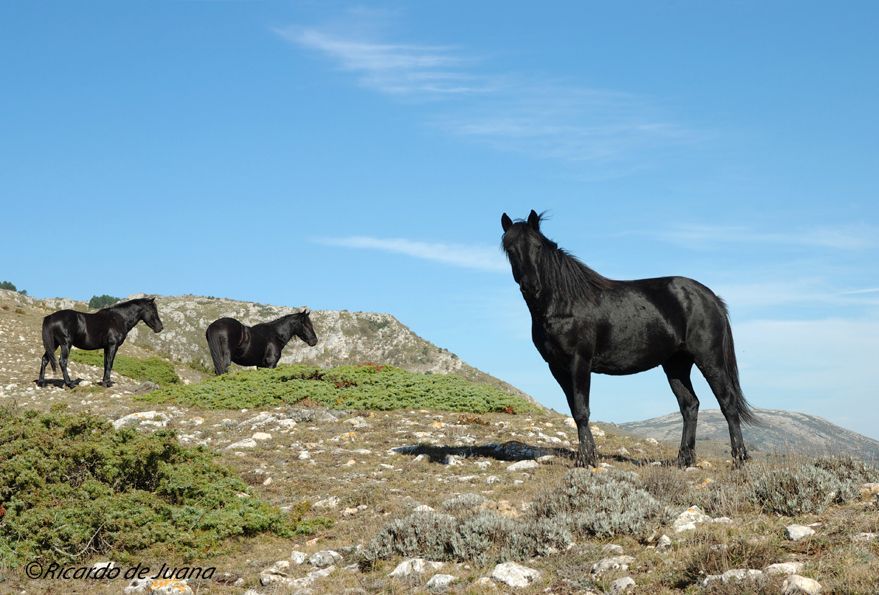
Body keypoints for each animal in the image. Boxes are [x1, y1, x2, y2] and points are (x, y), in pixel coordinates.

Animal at [502, 212, 756, 468]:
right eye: (510, 249)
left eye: (537, 246)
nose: (531, 286)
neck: (564, 303)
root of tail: (712, 298)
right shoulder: (557, 367)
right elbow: (575, 411)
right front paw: (588, 456)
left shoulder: (579, 362)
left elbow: (582, 410)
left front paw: (586, 460)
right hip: (676, 364)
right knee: (690, 406)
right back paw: (684, 460)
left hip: (710, 359)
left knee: (727, 403)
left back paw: (739, 460)